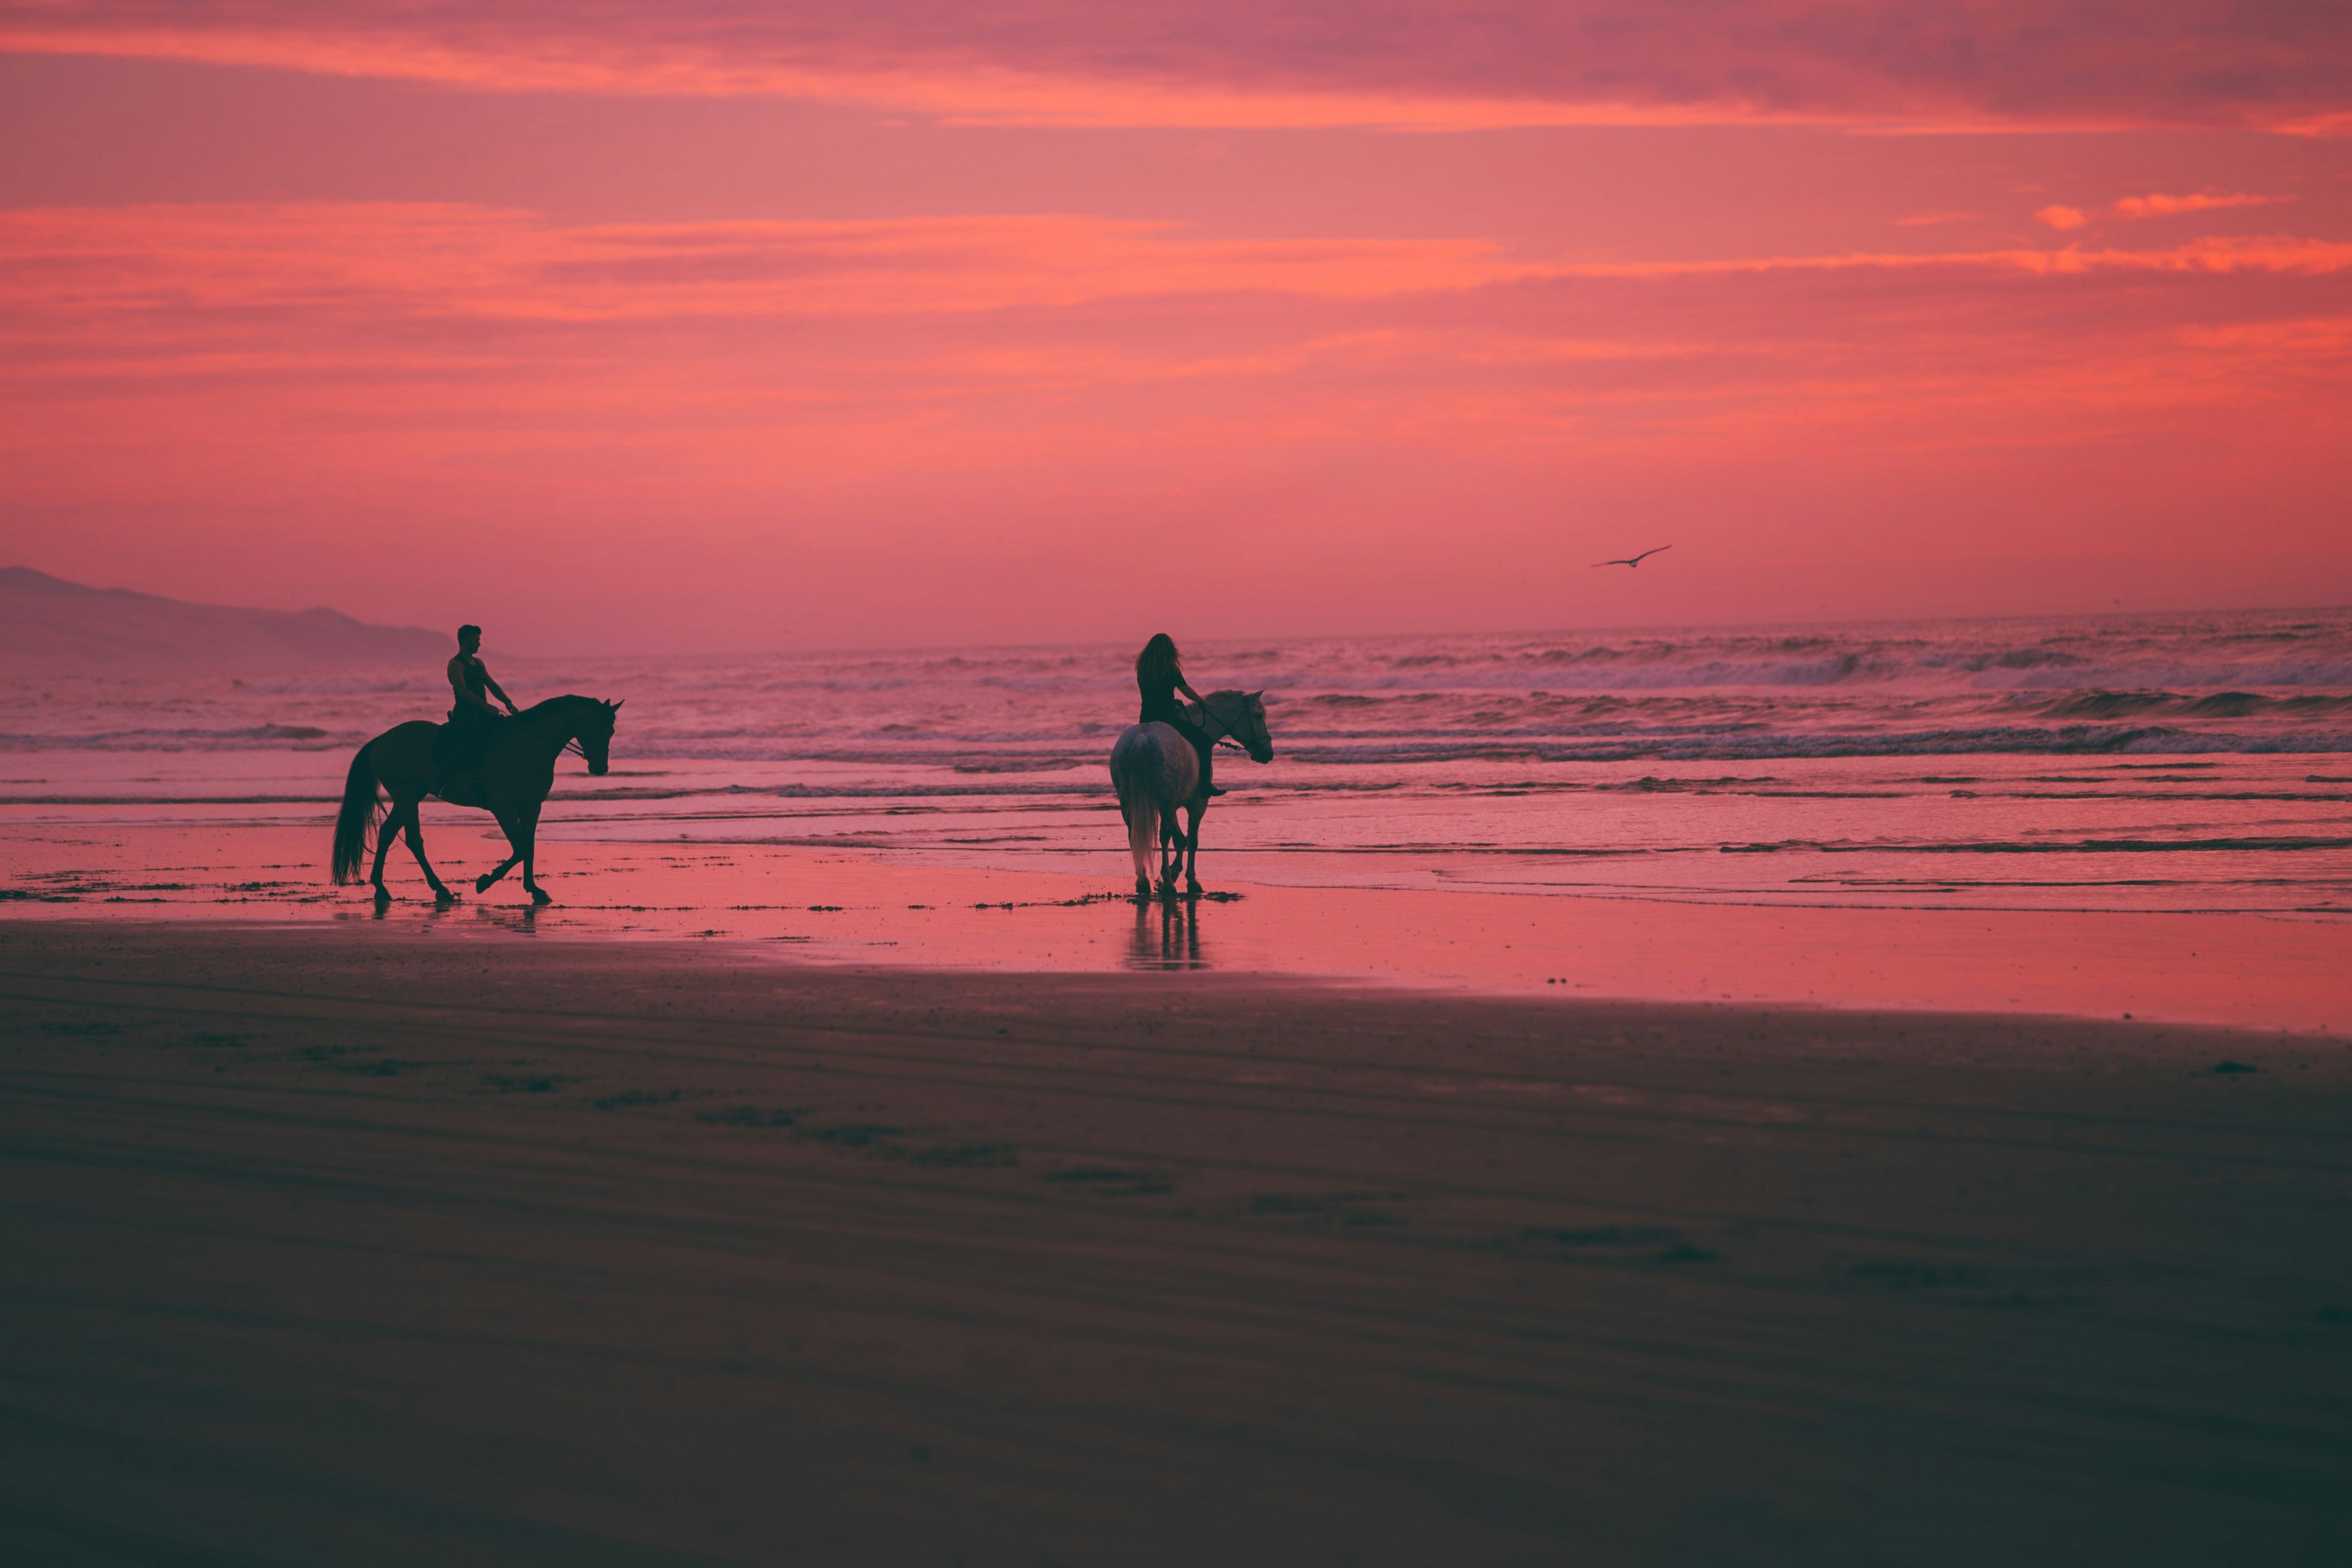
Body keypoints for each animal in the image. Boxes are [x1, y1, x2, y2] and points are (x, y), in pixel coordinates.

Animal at [336, 700, 625, 907]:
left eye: (611, 731)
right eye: (597, 728)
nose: (600, 768)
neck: (528, 747)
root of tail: (382, 739)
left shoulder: (532, 807)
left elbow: (529, 848)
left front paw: (534, 890)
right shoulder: (503, 807)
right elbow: (520, 848)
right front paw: (484, 882)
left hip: (410, 796)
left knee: (387, 833)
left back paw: (381, 888)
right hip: (407, 795)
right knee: (414, 840)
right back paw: (440, 890)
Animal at [1110, 690, 1279, 903]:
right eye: (1258, 716)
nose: (1268, 753)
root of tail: (1143, 736)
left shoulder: (1171, 806)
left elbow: (1180, 838)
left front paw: (1174, 871)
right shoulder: (1196, 805)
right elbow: (1191, 840)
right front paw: (1190, 880)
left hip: (1128, 800)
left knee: (1134, 835)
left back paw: (1144, 882)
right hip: (1165, 800)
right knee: (1163, 836)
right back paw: (1167, 884)